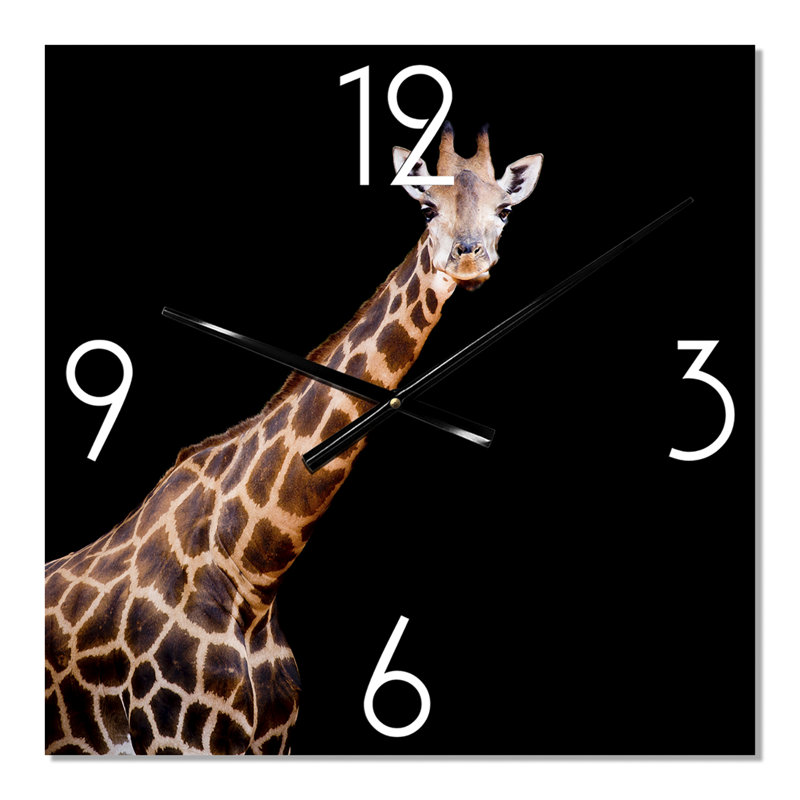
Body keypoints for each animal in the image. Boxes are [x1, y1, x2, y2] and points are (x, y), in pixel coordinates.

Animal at [44, 124, 543, 755]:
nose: (470, 256)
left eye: (505, 209)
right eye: (427, 207)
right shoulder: (173, 738)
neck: (253, 574)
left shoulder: (272, 744)